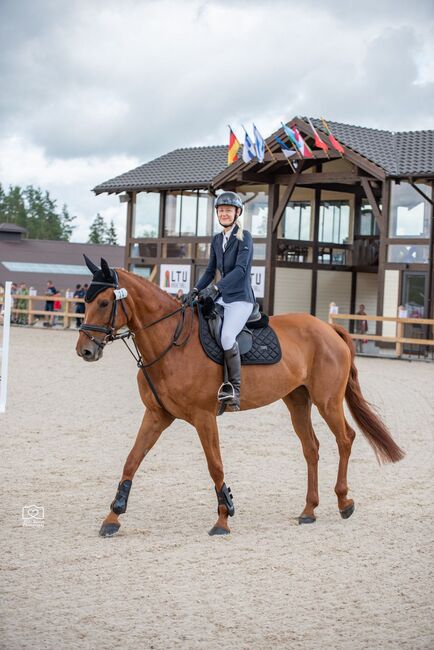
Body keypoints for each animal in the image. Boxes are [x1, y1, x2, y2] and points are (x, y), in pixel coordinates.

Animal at [76, 258, 406, 536]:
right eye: (86, 301)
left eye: (104, 302)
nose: (85, 351)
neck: (171, 341)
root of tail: (328, 327)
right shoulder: (157, 415)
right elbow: (132, 460)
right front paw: (113, 517)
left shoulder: (204, 417)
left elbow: (215, 465)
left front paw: (223, 518)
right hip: (297, 400)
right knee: (311, 448)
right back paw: (309, 510)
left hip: (327, 401)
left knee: (345, 438)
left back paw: (344, 502)